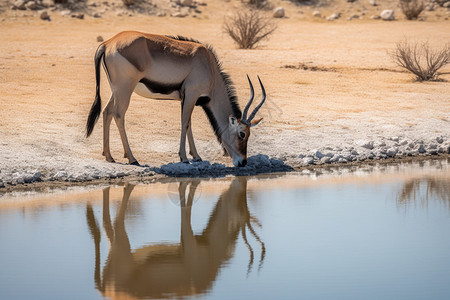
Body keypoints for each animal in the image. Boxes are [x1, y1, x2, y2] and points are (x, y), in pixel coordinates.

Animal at [85, 31, 266, 168]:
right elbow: (184, 123)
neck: (208, 64)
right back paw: (132, 158)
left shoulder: (186, 98)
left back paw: (109, 156)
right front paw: (184, 158)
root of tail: (107, 43)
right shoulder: (191, 94)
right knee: (118, 115)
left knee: (107, 112)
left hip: (117, 90)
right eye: (242, 134)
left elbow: (189, 124)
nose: (242, 162)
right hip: (125, 89)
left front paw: (196, 156)